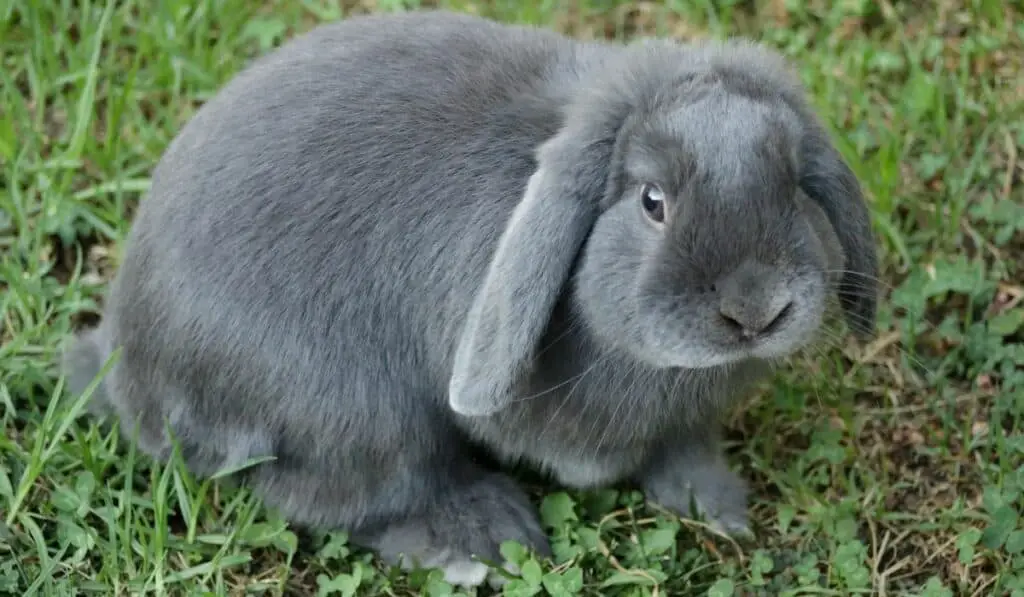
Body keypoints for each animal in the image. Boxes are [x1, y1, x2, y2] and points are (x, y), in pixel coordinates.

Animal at [66, 9, 880, 589]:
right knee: (351, 496)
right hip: (358, 415)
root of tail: (124, 361)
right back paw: (483, 539)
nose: (755, 308)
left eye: (794, 186)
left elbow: (684, 451)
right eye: (653, 201)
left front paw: (720, 506)